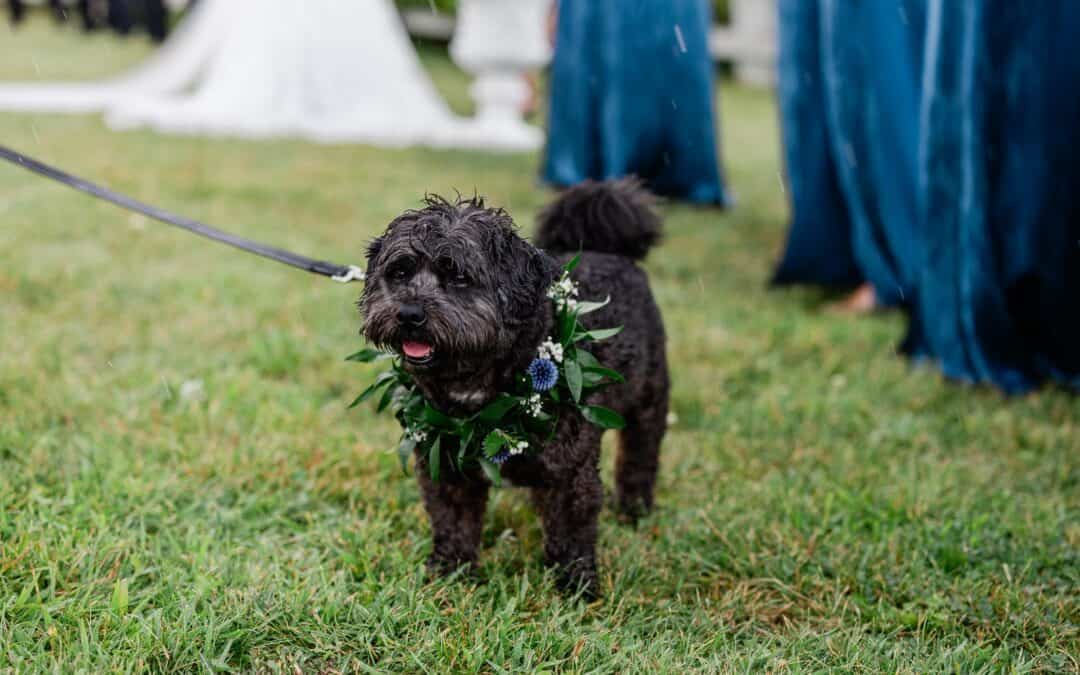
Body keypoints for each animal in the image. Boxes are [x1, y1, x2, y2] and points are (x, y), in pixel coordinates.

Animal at [360, 179, 665, 596]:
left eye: (459, 276)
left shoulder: (571, 473)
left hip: (648, 398)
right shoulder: (447, 463)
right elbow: (453, 520)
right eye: (400, 272)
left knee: (640, 454)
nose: (409, 314)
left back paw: (635, 507)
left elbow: (572, 529)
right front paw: (449, 572)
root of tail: (608, 250)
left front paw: (577, 585)